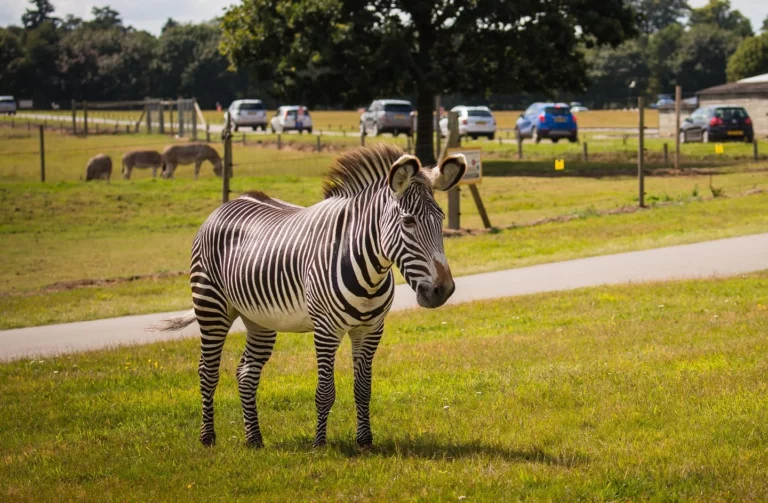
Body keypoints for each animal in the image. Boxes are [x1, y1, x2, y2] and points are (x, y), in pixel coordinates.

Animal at [149, 144, 462, 450]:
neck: (370, 269)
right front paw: (320, 445)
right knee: (208, 371)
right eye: (408, 222)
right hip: (211, 306)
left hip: (259, 319)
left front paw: (365, 442)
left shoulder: (370, 330)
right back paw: (208, 438)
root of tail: (225, 205)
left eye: (441, 220)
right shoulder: (326, 330)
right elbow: (325, 390)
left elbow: (363, 388)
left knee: (247, 373)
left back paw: (254, 440)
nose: (443, 290)